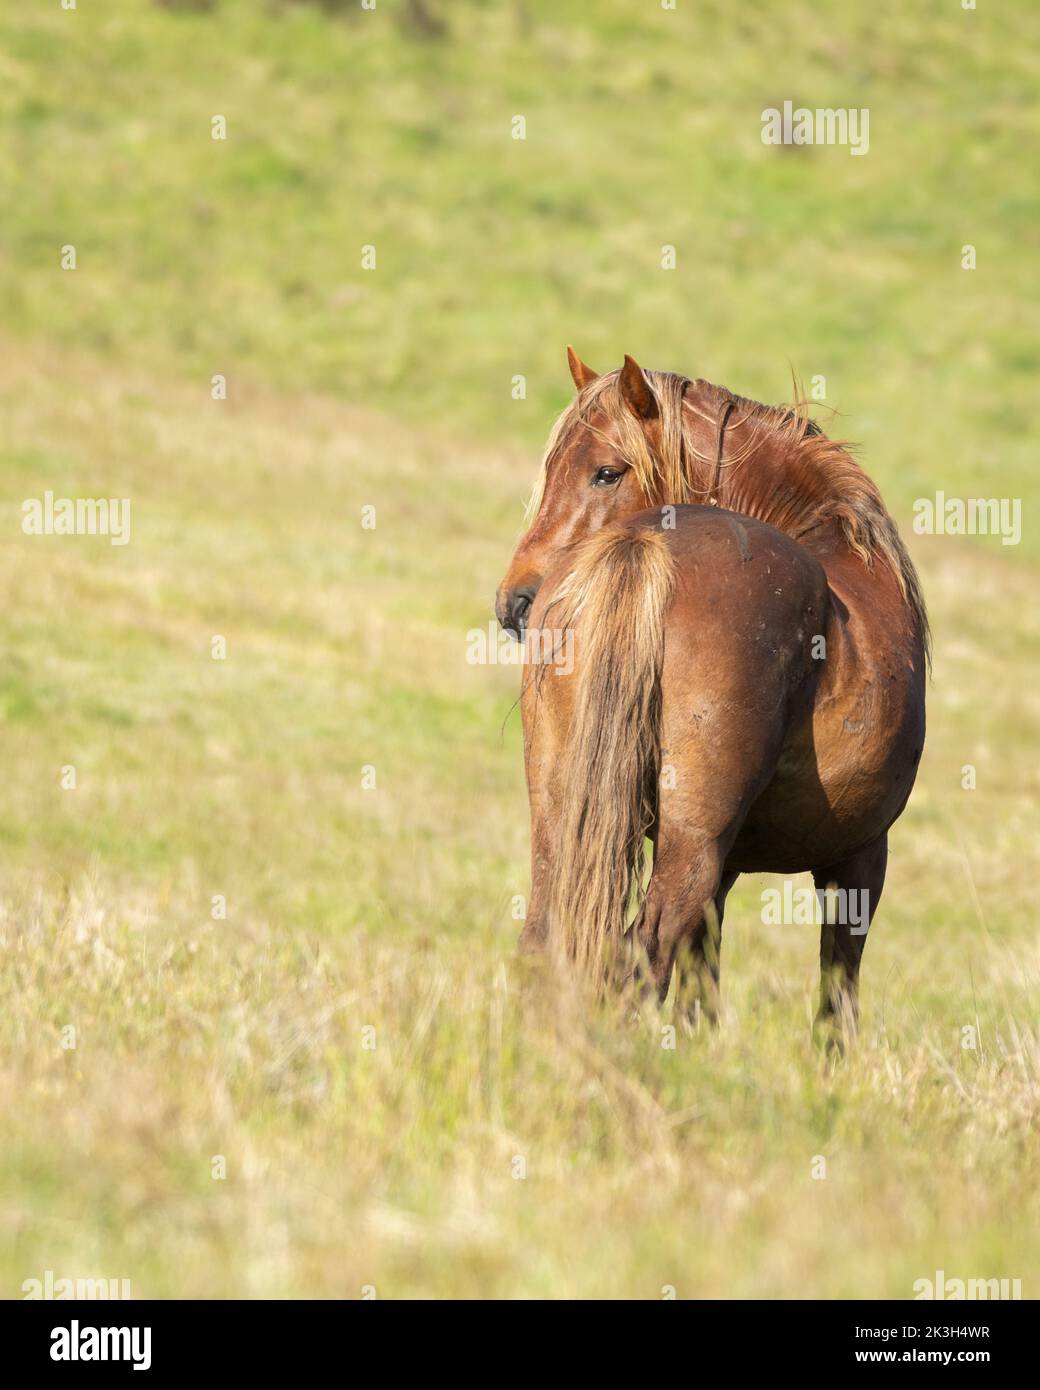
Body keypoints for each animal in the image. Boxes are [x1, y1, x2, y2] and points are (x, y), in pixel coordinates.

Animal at [495, 349, 928, 1038]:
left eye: (605, 473)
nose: (513, 605)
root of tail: (643, 545)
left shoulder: (729, 866)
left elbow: (702, 987)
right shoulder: (860, 859)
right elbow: (835, 1002)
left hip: (562, 815)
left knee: (545, 943)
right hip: (696, 849)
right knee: (639, 960)